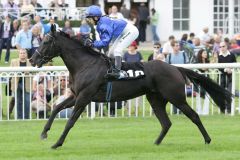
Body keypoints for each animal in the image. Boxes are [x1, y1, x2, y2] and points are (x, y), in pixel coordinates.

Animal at [29, 25, 232, 149]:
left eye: (46, 41)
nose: (32, 59)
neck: (85, 65)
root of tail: (174, 67)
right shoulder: (76, 95)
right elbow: (56, 108)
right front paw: (44, 133)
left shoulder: (84, 97)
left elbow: (71, 121)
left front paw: (57, 143)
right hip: (155, 98)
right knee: (166, 123)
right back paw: (155, 144)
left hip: (176, 97)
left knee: (194, 116)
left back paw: (207, 139)